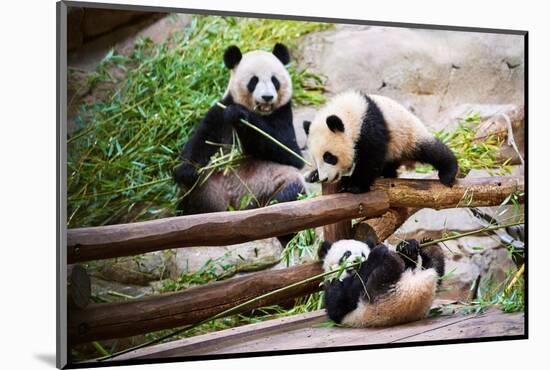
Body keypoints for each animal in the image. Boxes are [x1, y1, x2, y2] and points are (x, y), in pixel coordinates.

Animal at [175, 43, 306, 223]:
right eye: (254, 81)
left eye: (275, 80)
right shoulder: (218, 112)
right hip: (207, 189)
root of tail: (235, 205)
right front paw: (186, 171)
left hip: (269, 184)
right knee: (191, 200)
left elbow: (290, 152)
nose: (267, 97)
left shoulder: (283, 114)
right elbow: (201, 141)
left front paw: (239, 115)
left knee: (290, 191)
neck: (260, 113)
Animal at [304, 90, 460, 192]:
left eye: (329, 157)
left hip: (408, 135)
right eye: (315, 159)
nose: (324, 179)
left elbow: (371, 158)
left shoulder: (370, 127)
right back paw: (387, 173)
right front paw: (313, 175)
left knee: (431, 151)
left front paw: (353, 185)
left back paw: (448, 173)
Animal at [320, 238, 448, 326]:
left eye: (363, 254)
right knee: (388, 268)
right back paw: (391, 258)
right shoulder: (332, 284)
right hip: (376, 298)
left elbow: (408, 263)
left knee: (435, 266)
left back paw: (431, 248)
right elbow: (340, 302)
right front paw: (378, 251)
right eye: (347, 254)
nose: (357, 260)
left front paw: (408, 247)